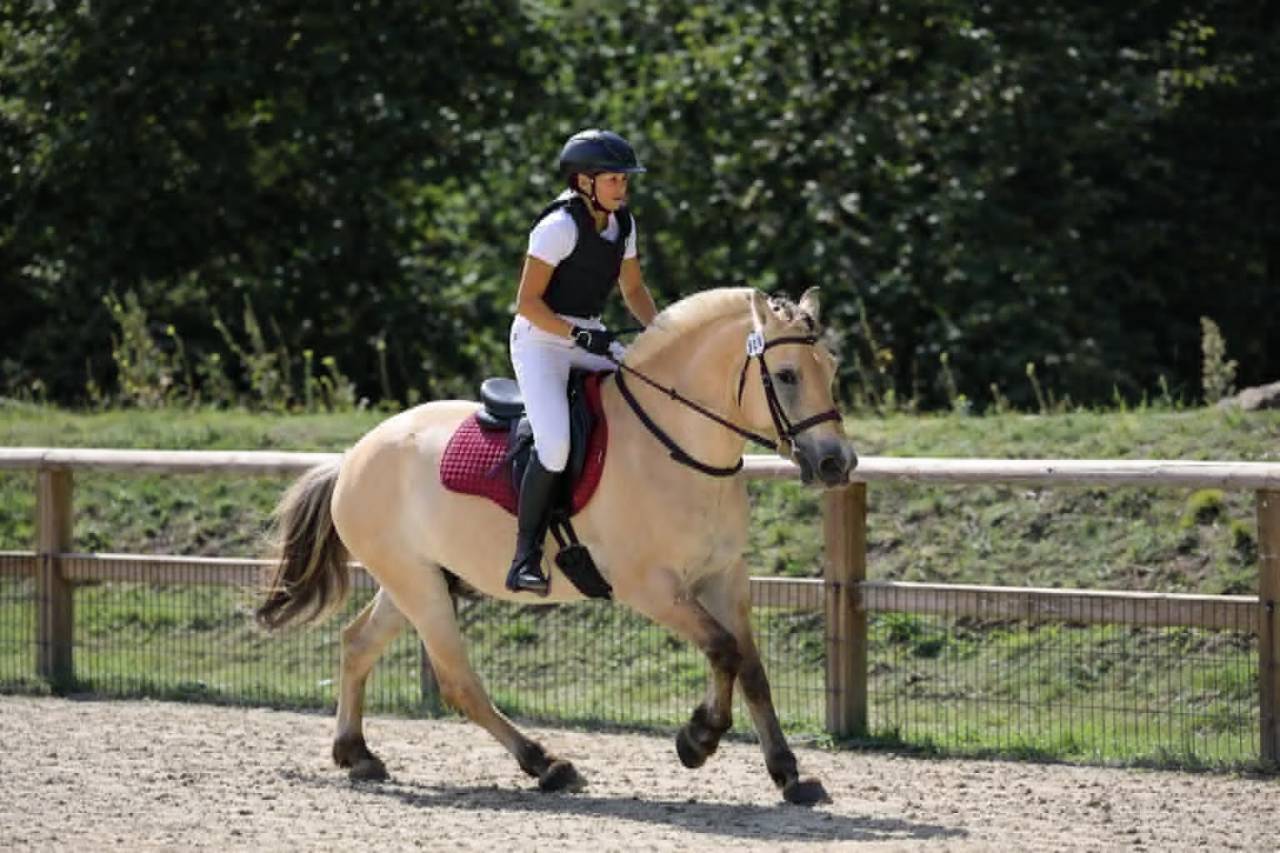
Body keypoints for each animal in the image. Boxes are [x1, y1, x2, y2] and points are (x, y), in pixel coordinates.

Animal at [256, 286, 858, 805]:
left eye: (831, 371)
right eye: (785, 375)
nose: (836, 463)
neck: (676, 447)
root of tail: (352, 456)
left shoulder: (724, 576)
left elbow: (750, 667)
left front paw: (789, 774)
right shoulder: (652, 588)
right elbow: (723, 649)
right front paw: (698, 738)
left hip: (416, 580)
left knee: (358, 644)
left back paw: (356, 753)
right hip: (418, 586)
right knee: (458, 681)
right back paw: (545, 763)